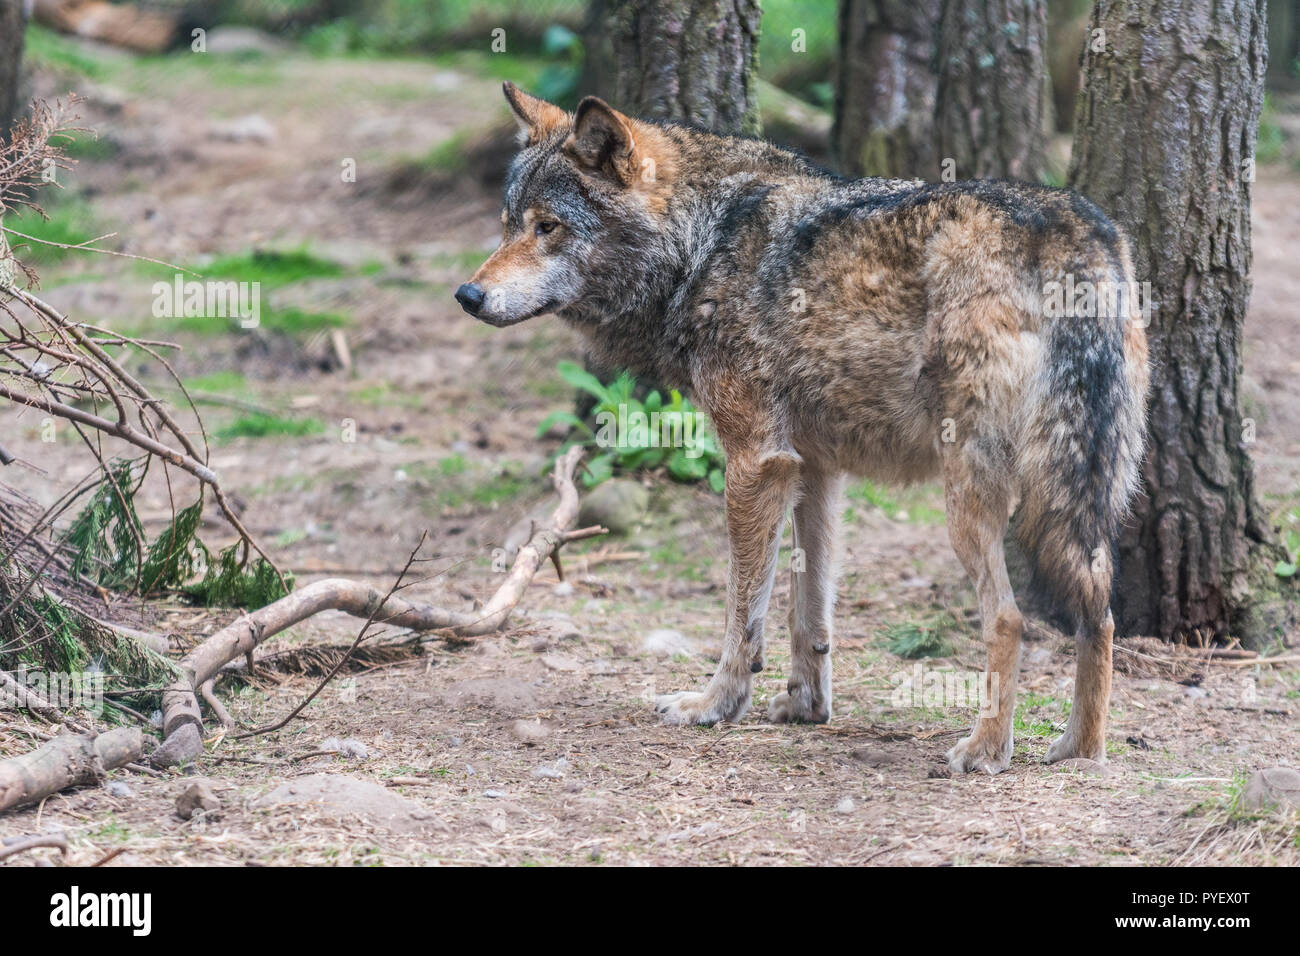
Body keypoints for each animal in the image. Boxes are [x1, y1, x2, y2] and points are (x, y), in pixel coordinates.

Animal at [457, 78, 1149, 775]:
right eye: (508, 224)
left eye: (549, 227)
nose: (467, 295)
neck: (699, 244)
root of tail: (1072, 229)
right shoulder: (815, 470)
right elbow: (808, 610)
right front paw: (806, 705)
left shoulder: (755, 463)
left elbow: (743, 613)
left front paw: (714, 705)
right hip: (1084, 490)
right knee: (1101, 612)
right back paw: (1081, 748)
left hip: (969, 500)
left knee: (1009, 618)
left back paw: (984, 748)